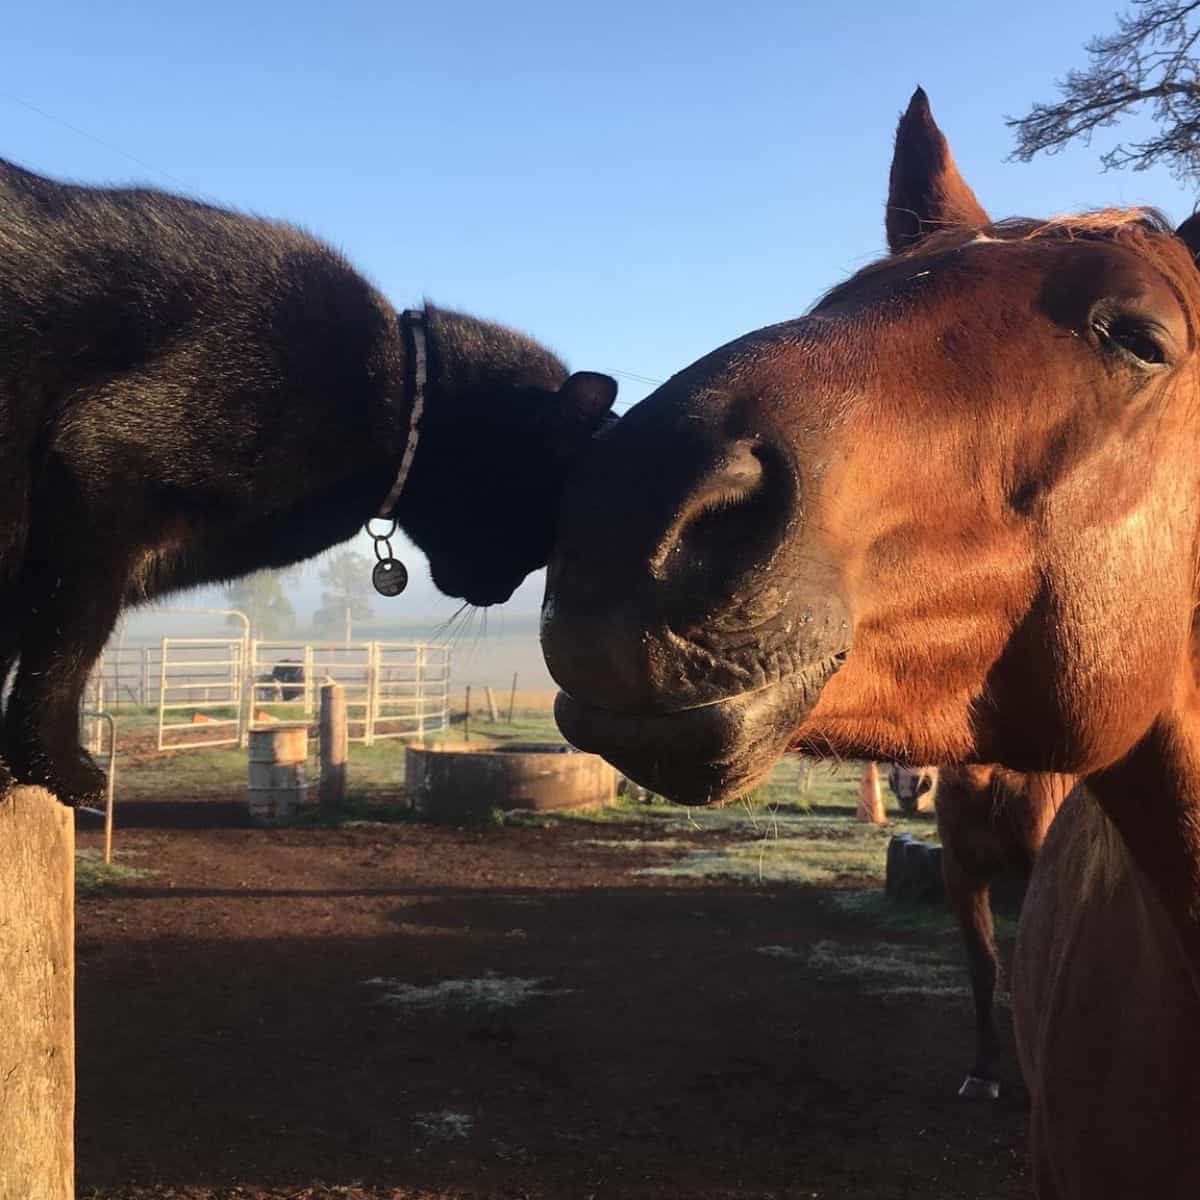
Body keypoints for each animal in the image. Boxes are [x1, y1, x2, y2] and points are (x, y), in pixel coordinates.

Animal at [0, 154, 614, 801]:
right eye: (539, 535)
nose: (502, 594)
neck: (396, 391)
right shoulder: (102, 460)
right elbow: (68, 641)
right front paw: (56, 765)